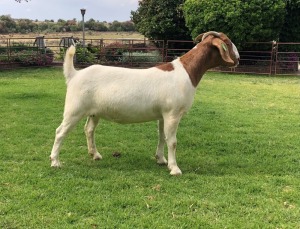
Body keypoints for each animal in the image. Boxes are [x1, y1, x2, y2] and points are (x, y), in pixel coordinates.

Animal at [50, 31, 240, 175]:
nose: (238, 58)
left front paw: (161, 160)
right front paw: (175, 168)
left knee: (89, 130)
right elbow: (173, 141)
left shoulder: (163, 115)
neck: (186, 72)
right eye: (227, 42)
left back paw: (95, 154)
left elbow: (162, 137)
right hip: (74, 109)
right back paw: (55, 161)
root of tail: (74, 74)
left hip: (94, 112)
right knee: (60, 132)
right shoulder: (173, 113)